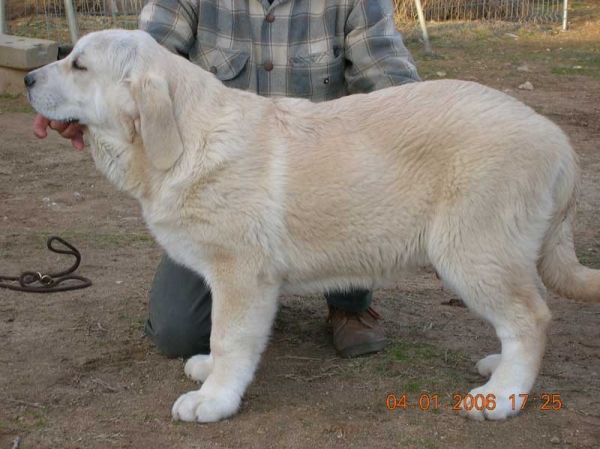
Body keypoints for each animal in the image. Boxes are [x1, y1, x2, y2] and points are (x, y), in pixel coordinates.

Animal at [25, 29, 600, 422]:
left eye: (78, 65)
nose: (28, 78)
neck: (184, 139)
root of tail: (555, 136)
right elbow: (225, 339)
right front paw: (210, 372)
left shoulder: (241, 274)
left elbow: (230, 337)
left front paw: (213, 400)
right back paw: (498, 370)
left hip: (473, 251)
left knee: (531, 319)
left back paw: (502, 397)